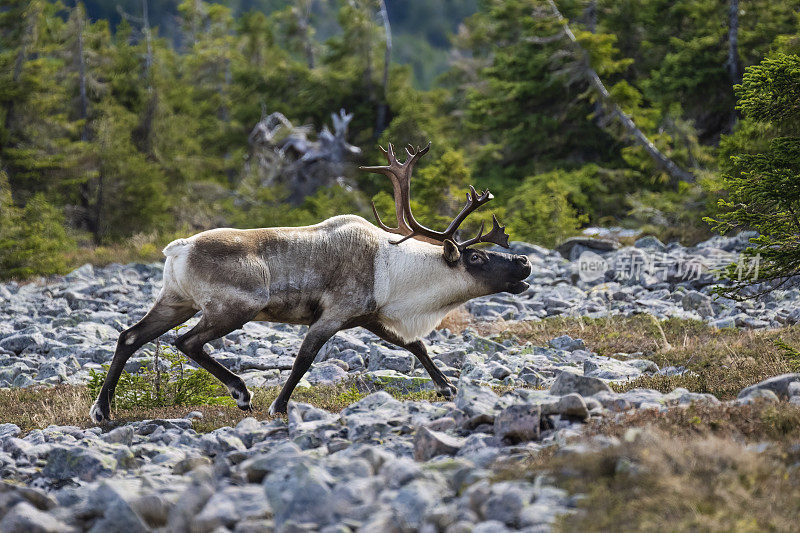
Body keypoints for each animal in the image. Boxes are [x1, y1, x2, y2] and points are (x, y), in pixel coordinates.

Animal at [90, 143, 532, 422]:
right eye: (476, 257)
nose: (525, 262)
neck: (395, 271)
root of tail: (178, 248)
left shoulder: (369, 316)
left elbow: (415, 345)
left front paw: (446, 388)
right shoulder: (332, 315)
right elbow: (305, 358)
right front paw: (280, 407)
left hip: (176, 300)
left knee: (130, 336)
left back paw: (103, 410)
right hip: (235, 307)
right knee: (186, 342)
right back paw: (241, 393)